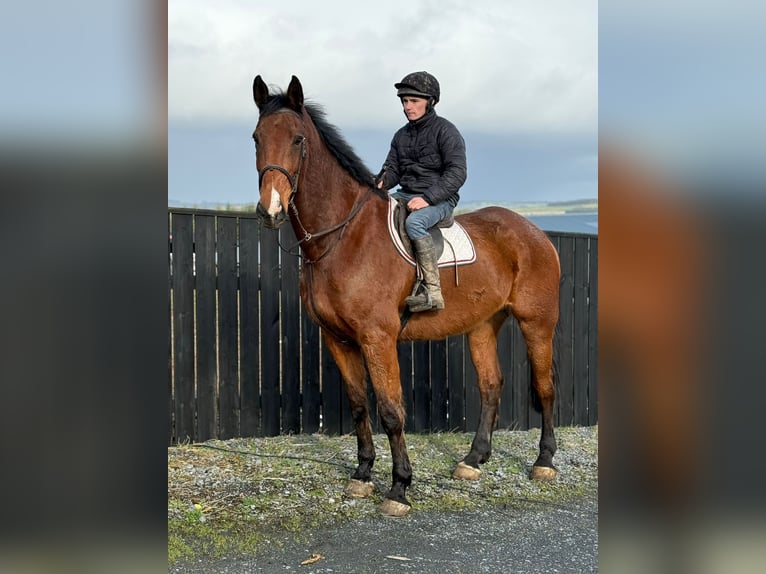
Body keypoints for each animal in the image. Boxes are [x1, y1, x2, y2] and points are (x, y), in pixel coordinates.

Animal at [252, 75, 561, 517]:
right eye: (257, 138)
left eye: (297, 139)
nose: (270, 209)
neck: (342, 238)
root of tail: (536, 234)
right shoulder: (338, 339)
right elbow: (360, 406)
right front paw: (363, 476)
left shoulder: (377, 338)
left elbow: (391, 410)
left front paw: (399, 488)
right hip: (483, 325)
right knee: (491, 385)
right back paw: (473, 460)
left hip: (538, 321)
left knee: (545, 385)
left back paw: (544, 462)